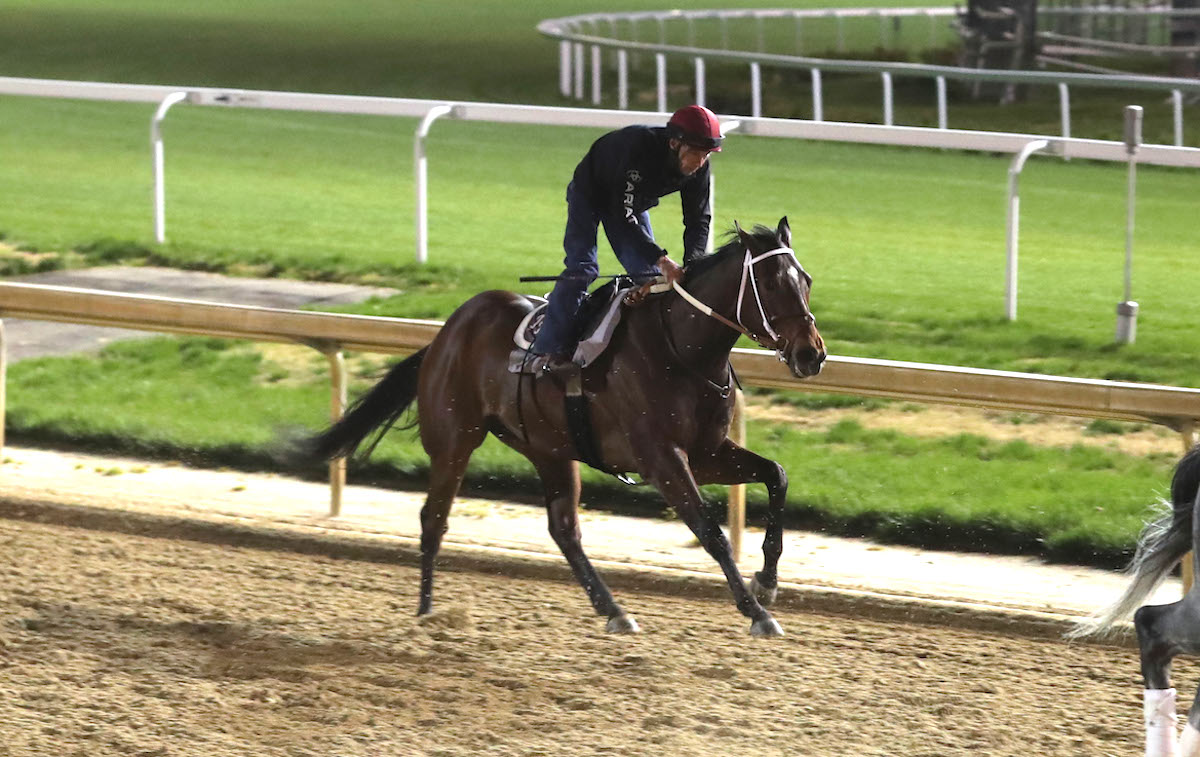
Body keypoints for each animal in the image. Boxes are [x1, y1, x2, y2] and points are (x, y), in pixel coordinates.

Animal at [300, 215, 825, 638]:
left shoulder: (707, 452)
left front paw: (768, 582)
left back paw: (614, 610)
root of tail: (444, 334)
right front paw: (757, 612)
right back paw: (427, 613)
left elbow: (776, 475)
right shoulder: (662, 458)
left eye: (807, 280)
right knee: (434, 518)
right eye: (772, 284)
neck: (683, 351)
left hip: (549, 448)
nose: (812, 354)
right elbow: (710, 530)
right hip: (455, 440)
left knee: (564, 528)